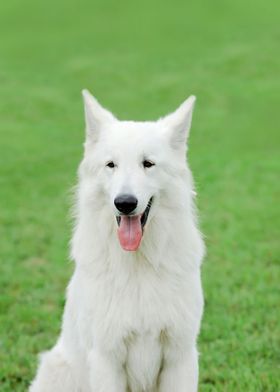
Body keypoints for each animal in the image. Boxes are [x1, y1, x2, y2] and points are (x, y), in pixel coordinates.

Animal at [30, 90, 205, 390]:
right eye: (111, 165)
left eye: (148, 164)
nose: (124, 203)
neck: (139, 265)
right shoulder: (106, 358)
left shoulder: (180, 357)